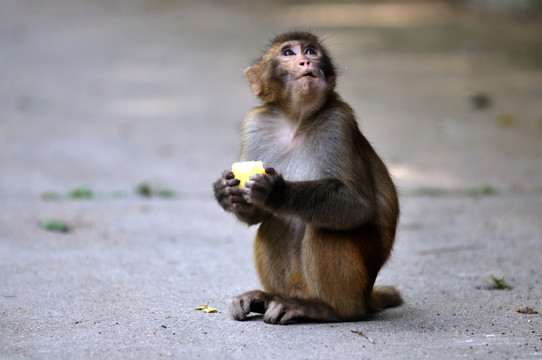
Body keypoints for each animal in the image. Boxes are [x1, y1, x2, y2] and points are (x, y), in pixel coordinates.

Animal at [215, 30, 402, 324]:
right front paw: (225, 192)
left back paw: (325, 310)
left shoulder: (339, 122)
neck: (296, 120)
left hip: (359, 278)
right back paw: (268, 298)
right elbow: (256, 213)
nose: (305, 62)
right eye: (288, 53)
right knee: (272, 223)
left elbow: (356, 205)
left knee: (324, 230)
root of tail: (367, 295)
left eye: (311, 51)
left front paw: (278, 192)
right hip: (298, 282)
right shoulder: (255, 124)